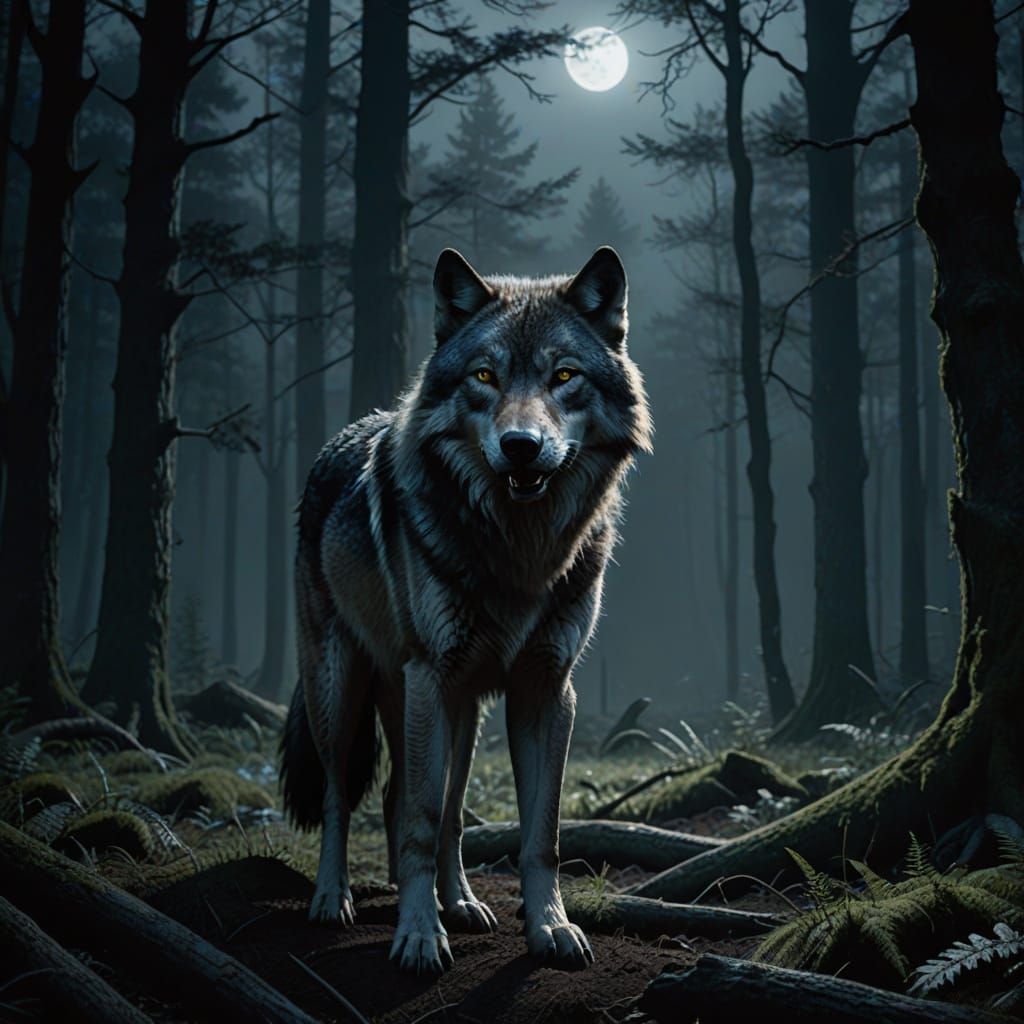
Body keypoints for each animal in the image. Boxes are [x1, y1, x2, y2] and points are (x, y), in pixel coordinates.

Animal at [280, 245, 652, 976]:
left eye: (563, 376)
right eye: (485, 375)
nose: (520, 446)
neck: (520, 554)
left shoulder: (546, 689)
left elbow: (540, 833)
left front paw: (549, 928)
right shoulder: (430, 675)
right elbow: (418, 822)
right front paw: (418, 937)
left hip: (460, 712)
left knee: (439, 807)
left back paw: (459, 902)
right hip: (346, 691)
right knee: (346, 797)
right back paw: (332, 898)